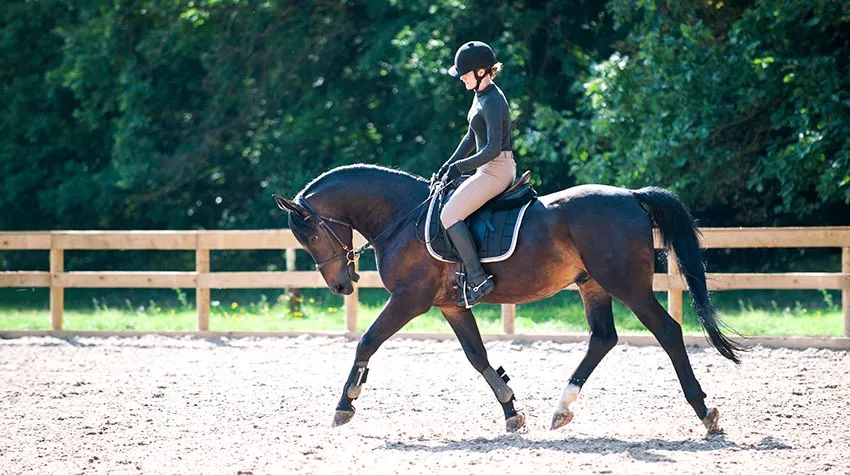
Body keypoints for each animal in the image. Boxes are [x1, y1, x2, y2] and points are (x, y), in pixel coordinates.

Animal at [273, 164, 743, 434]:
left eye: (310, 234)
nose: (341, 285)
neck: (403, 217)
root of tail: (630, 196)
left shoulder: (409, 300)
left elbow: (367, 341)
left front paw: (345, 405)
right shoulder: (451, 305)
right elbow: (478, 356)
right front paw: (511, 412)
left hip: (628, 286)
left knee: (667, 331)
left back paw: (705, 413)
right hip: (592, 285)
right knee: (603, 338)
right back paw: (561, 410)